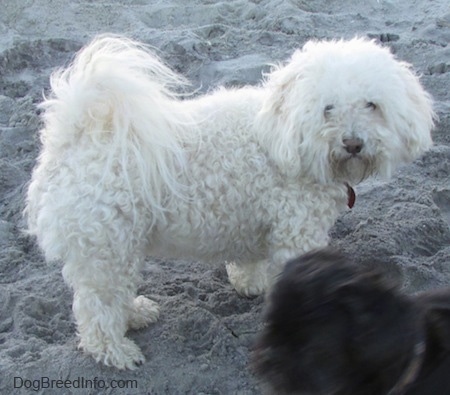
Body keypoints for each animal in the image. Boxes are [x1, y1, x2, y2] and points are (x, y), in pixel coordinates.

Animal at [26, 35, 434, 370]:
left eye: (372, 105)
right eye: (327, 108)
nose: (353, 143)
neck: (279, 137)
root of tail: (74, 135)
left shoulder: (254, 221)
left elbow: (250, 260)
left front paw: (251, 284)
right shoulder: (297, 233)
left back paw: (136, 313)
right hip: (107, 246)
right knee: (97, 307)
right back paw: (115, 350)